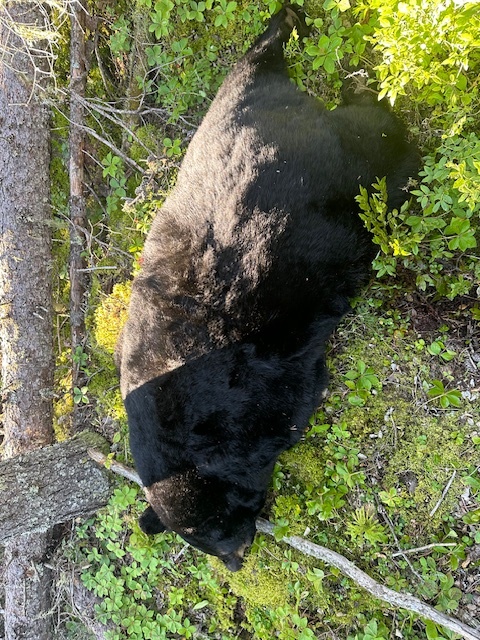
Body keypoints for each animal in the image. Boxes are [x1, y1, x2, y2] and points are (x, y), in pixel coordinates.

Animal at [115, 4, 418, 571]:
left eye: (215, 531)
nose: (239, 560)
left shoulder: (255, 394)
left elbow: (294, 405)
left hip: (334, 168)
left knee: (376, 143)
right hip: (240, 103)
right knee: (257, 65)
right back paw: (289, 27)